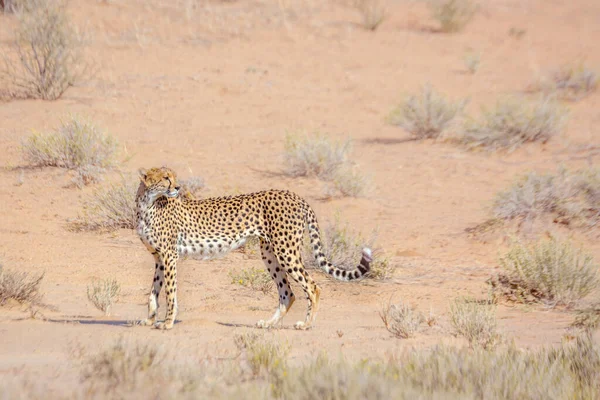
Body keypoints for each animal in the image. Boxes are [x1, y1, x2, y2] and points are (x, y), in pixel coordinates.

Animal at [136, 167, 370, 330]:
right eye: (165, 178)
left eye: (172, 177)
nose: (177, 188)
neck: (147, 205)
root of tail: (293, 194)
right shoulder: (158, 257)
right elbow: (154, 291)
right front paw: (149, 320)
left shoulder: (169, 255)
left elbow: (170, 292)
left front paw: (167, 323)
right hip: (270, 254)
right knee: (287, 293)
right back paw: (268, 324)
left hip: (286, 251)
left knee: (312, 286)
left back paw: (306, 324)